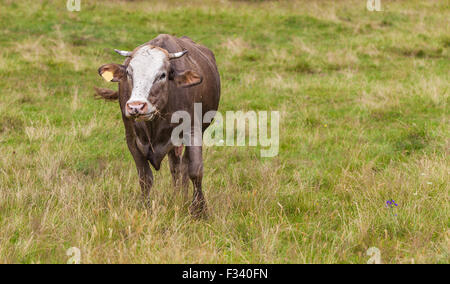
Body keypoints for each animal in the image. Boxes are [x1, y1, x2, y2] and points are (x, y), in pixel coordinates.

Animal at [94, 35, 221, 217]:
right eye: (129, 73)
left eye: (162, 75)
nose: (136, 107)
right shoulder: (131, 139)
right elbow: (145, 177)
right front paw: (145, 207)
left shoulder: (192, 132)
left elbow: (195, 171)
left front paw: (199, 210)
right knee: (176, 168)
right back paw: (178, 197)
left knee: (182, 167)